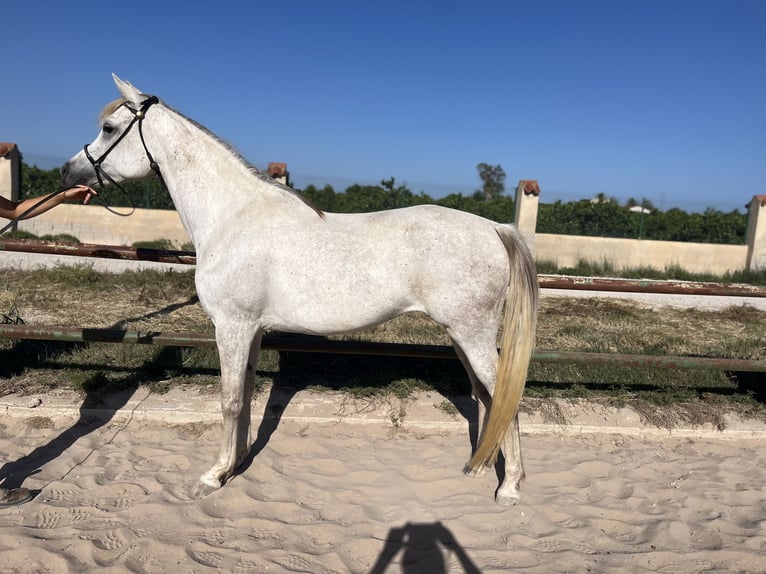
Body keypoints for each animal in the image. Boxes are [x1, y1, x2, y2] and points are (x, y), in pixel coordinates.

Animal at [61, 73, 540, 508]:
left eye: (108, 128)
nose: (69, 171)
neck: (232, 216)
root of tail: (496, 229)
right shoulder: (252, 331)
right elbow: (246, 397)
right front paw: (237, 464)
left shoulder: (231, 327)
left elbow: (229, 401)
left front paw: (213, 476)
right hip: (461, 335)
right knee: (486, 397)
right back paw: (478, 467)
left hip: (472, 333)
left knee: (505, 398)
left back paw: (509, 488)